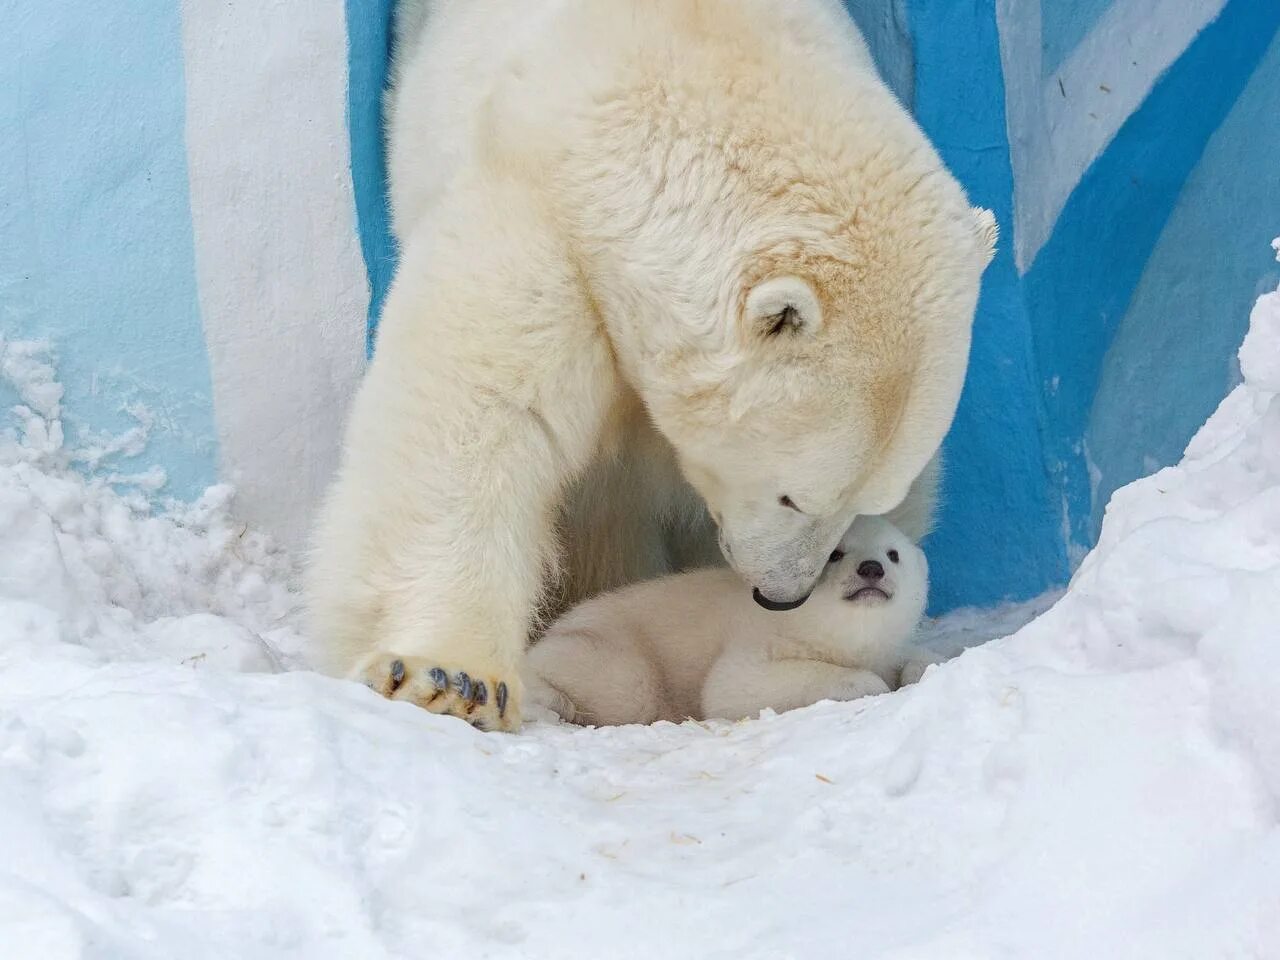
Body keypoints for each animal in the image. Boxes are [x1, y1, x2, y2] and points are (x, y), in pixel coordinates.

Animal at [522, 514, 942, 727]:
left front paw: (916, 671)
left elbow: (915, 656)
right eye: (835, 554)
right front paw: (869, 683)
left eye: (893, 554)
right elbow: (732, 686)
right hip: (607, 652)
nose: (871, 569)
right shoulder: (761, 637)